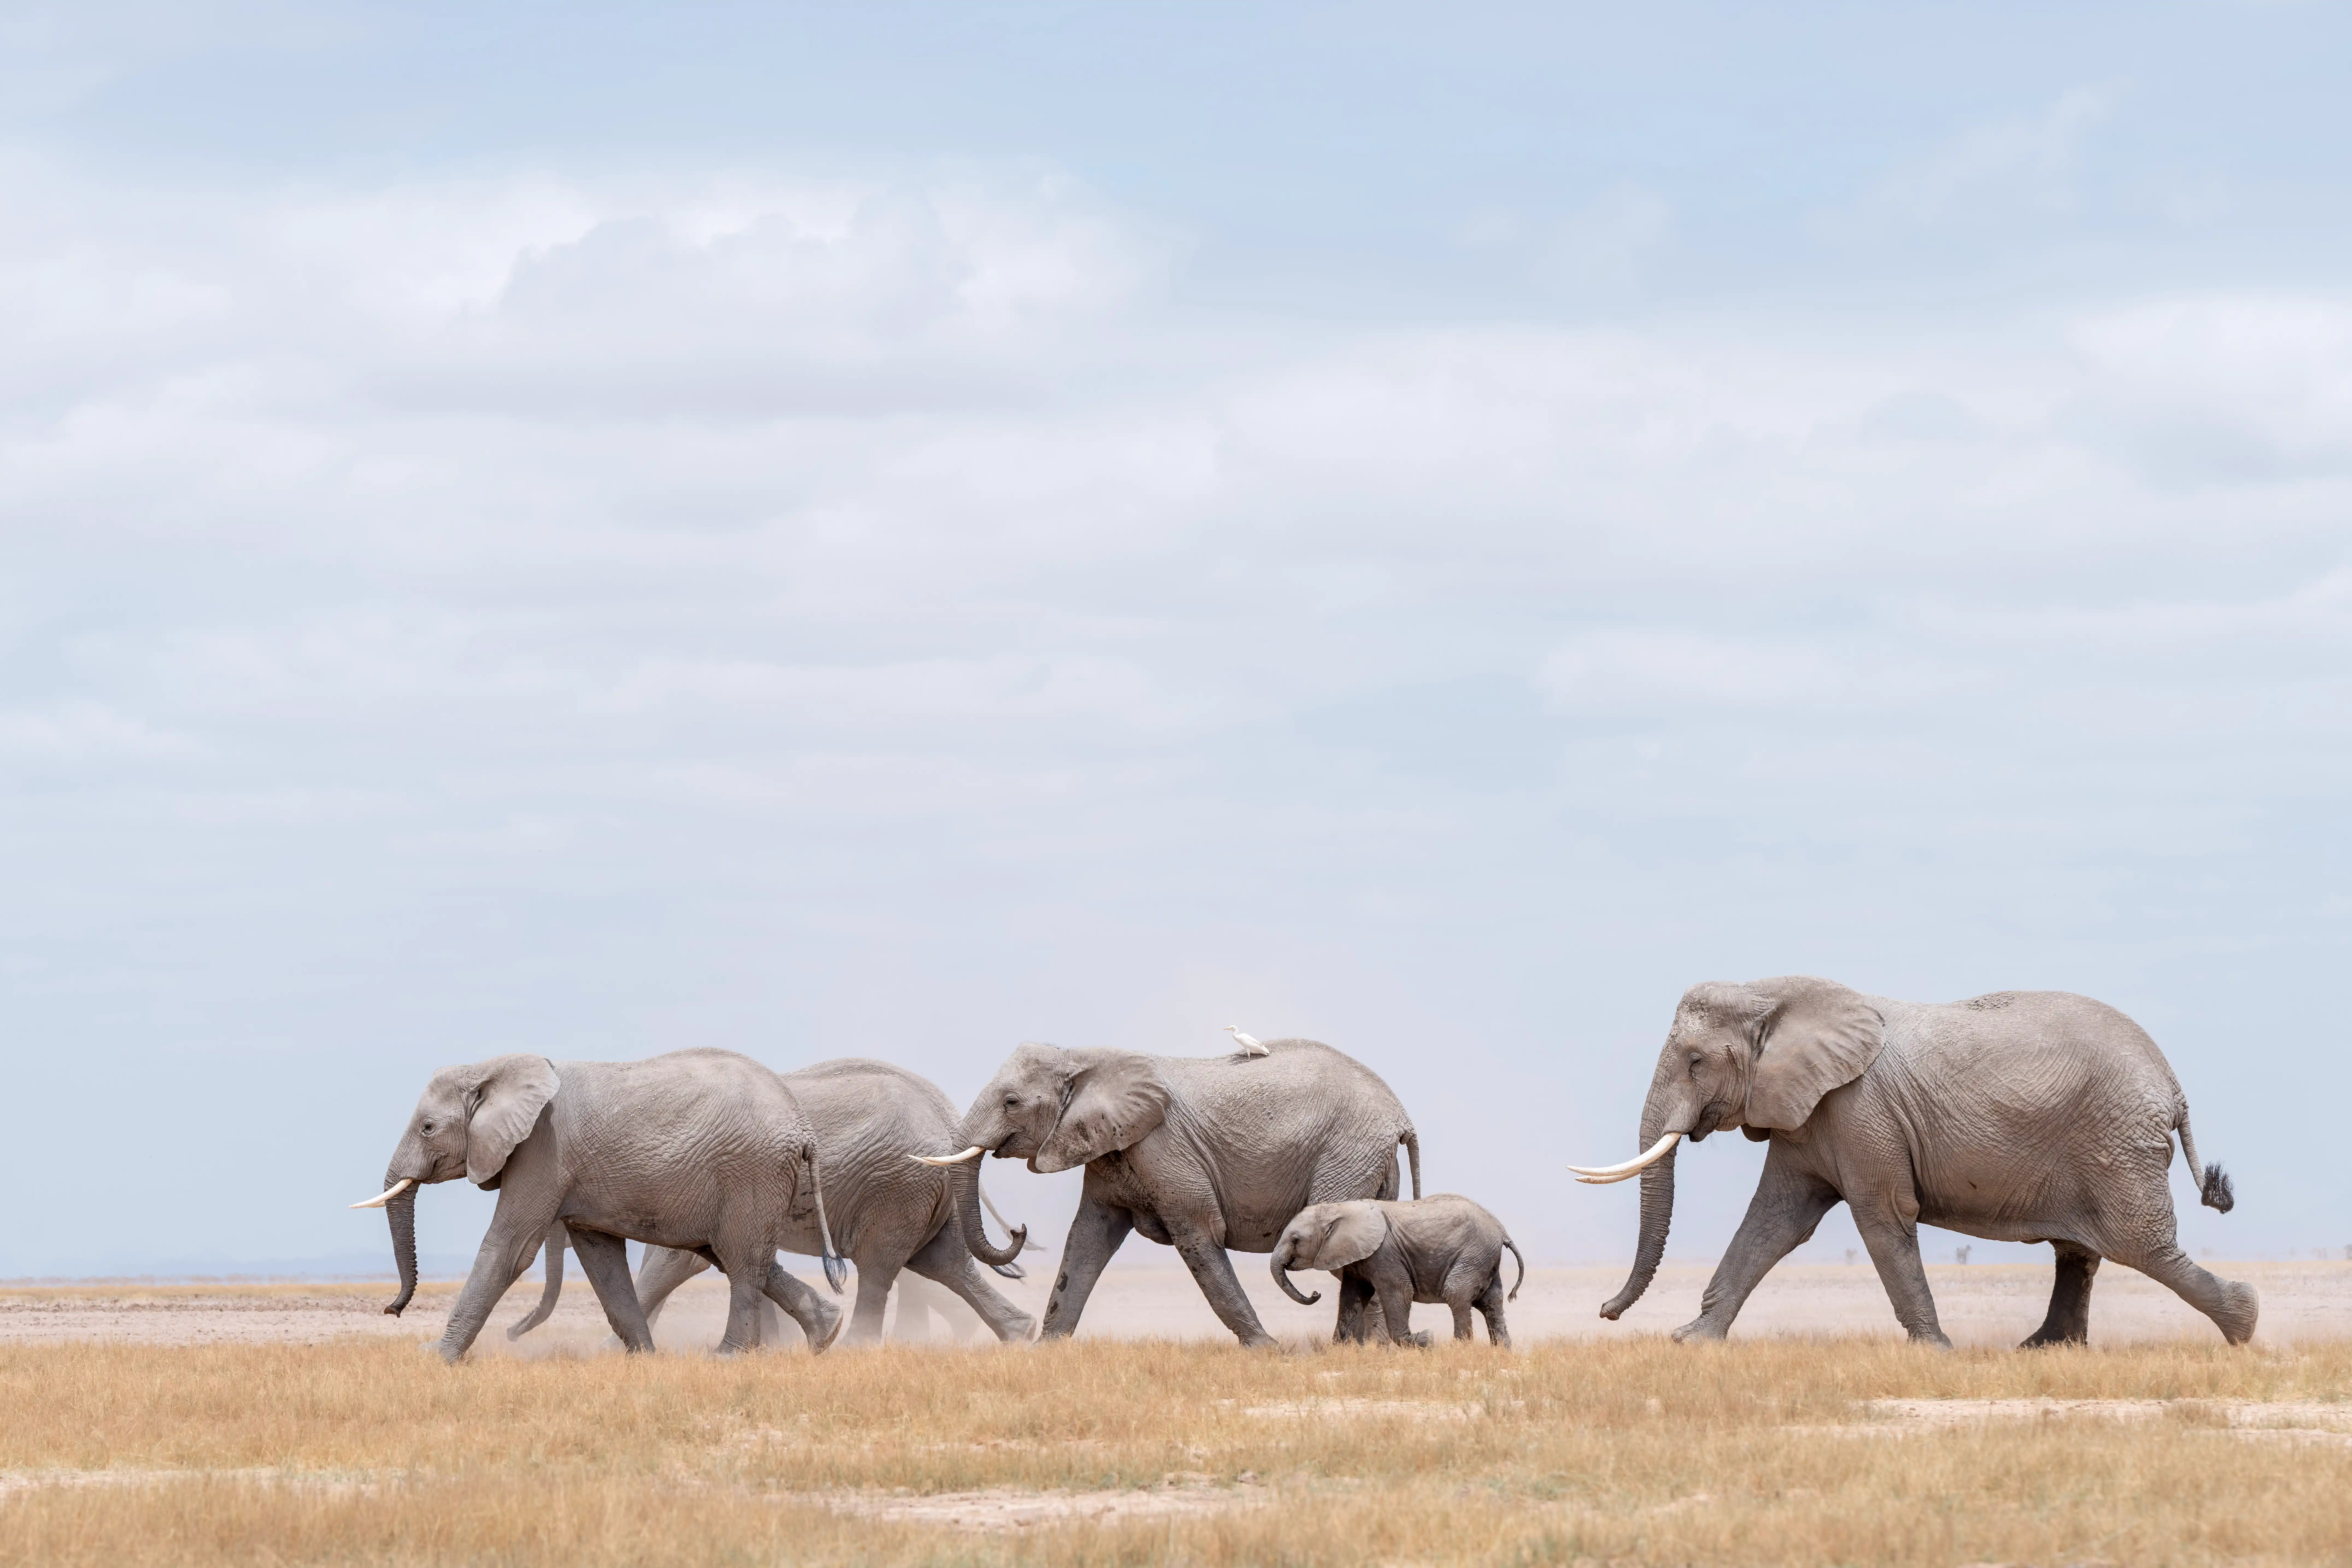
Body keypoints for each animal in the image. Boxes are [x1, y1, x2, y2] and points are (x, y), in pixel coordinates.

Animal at [354, 1047, 845, 1363]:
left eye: (428, 1128)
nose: (392, 1310)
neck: (492, 1067)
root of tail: (802, 1125)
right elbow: (601, 1260)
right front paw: (644, 1359)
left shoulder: (542, 1151)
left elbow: (509, 1249)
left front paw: (434, 1358)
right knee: (735, 1256)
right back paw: (827, 1333)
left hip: (751, 1173)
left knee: (741, 1262)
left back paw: (727, 1358)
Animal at [510, 1059, 1038, 1347]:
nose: (514, 1332)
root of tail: (946, 1118)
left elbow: (673, 1263)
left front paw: (604, 1351)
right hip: (924, 1192)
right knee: (943, 1261)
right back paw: (1019, 1333)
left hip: (895, 1187)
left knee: (882, 1266)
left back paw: (854, 1348)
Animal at [925, 1036, 1421, 1347]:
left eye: (1011, 1102)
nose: (1020, 1230)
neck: (1083, 1057)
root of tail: (1401, 1116)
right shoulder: (1110, 1148)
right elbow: (1086, 1241)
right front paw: (1045, 1351)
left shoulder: (1164, 1149)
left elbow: (1199, 1237)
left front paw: (1268, 1349)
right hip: (1370, 1161)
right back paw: (1373, 1348)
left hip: (1347, 1153)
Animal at [1272, 1194, 1525, 1348]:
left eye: (1295, 1240)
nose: (1315, 1294)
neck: (1337, 1208)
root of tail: (1503, 1231)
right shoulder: (1357, 1256)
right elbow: (1351, 1297)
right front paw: (1337, 1350)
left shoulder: (1385, 1253)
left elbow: (1399, 1292)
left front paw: (1426, 1340)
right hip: (1485, 1258)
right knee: (1491, 1301)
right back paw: (1501, 1352)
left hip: (1474, 1253)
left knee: (1456, 1293)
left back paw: (1460, 1348)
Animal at [1571, 977, 2256, 1348]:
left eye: (1694, 1062)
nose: (1604, 1312)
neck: (1771, 993)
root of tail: (2172, 1085)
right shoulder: (1810, 1112)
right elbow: (1776, 1221)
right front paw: (1691, 1341)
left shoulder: (1859, 1109)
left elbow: (1882, 1217)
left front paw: (1935, 1351)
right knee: (2083, 1250)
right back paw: (2040, 1350)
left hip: (2116, 1144)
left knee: (2141, 1247)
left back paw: (2244, 1323)